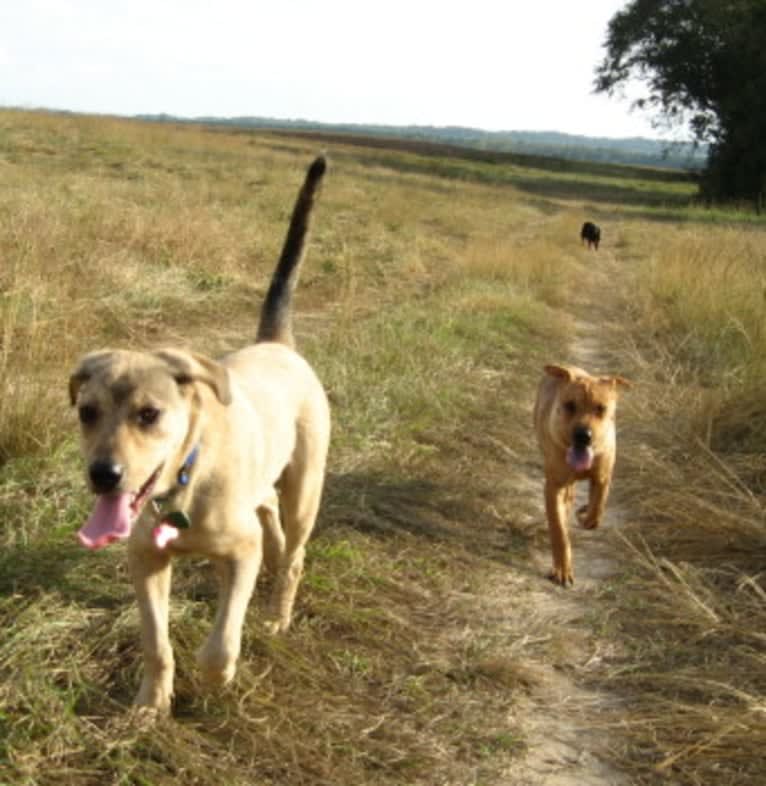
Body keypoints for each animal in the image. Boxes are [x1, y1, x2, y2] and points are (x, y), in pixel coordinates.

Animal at [67, 156, 328, 708]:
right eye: (86, 411)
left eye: (149, 414)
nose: (104, 475)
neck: (185, 481)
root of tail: (278, 344)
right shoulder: (145, 559)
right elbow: (156, 642)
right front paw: (151, 703)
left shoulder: (241, 553)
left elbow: (221, 640)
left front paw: (216, 677)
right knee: (269, 516)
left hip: (305, 488)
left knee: (293, 551)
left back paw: (278, 612)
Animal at [536, 364, 632, 584]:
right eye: (570, 405)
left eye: (601, 408)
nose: (583, 435)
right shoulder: (554, 486)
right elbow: (559, 531)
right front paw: (562, 568)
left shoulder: (602, 478)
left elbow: (596, 513)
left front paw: (584, 514)